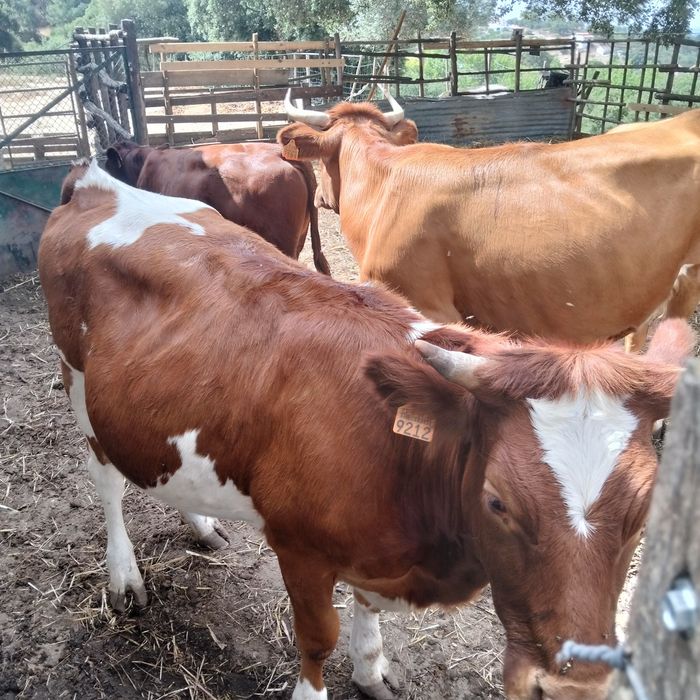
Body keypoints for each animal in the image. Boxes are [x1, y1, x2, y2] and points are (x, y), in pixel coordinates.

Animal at [39, 159, 692, 700]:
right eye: (497, 502)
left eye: (645, 513)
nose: (574, 691)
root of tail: (97, 180)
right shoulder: (298, 547)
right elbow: (316, 639)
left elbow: (366, 612)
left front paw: (371, 667)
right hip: (77, 382)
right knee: (107, 480)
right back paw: (124, 577)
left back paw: (201, 525)